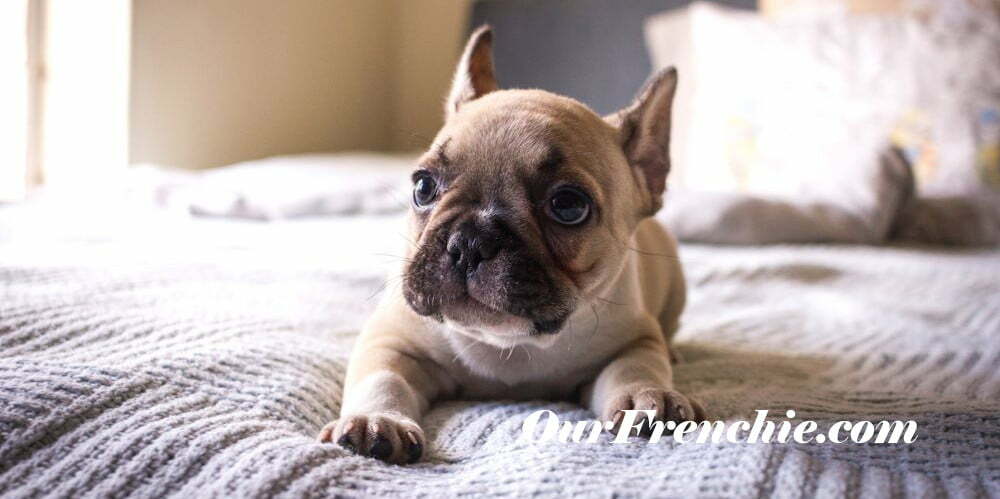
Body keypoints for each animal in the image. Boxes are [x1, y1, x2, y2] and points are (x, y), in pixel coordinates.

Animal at [318, 26, 704, 464]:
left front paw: (648, 395)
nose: (470, 242)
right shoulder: (392, 342)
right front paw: (378, 420)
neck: (510, 344)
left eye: (568, 205)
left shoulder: (632, 340)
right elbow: (384, 378)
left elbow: (634, 367)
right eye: (423, 186)